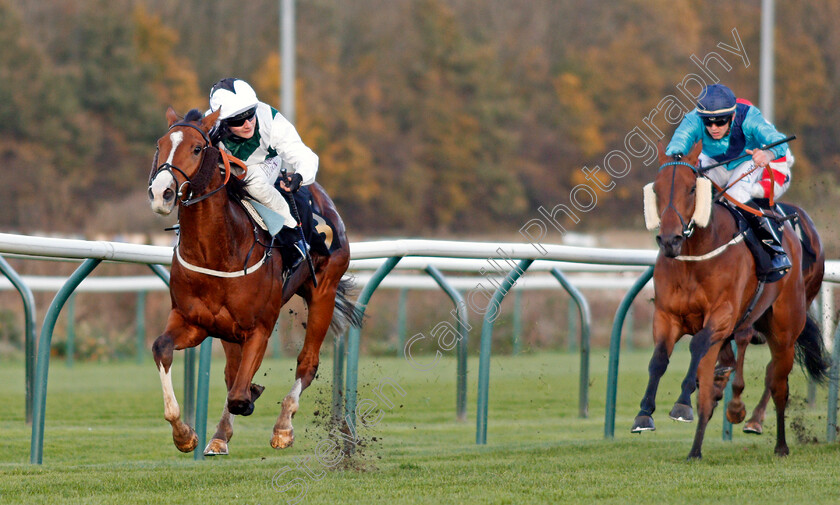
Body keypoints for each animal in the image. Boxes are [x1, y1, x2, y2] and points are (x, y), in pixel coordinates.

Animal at [149, 108, 360, 454]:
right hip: (227, 329)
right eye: (160, 144)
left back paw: (283, 427)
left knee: (307, 363)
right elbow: (162, 348)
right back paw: (220, 435)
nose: (161, 194)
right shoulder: (193, 321)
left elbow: (238, 395)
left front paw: (254, 402)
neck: (216, 250)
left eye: (197, 148)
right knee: (231, 372)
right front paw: (185, 434)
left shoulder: (259, 327)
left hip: (324, 291)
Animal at [636, 141, 828, 456]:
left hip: (785, 330)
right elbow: (659, 360)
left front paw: (683, 404)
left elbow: (699, 345)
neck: (695, 256)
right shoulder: (666, 316)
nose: (669, 240)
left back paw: (776, 441)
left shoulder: (723, 315)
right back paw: (700, 444)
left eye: (692, 188)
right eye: (656, 189)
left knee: (777, 381)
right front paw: (644, 415)